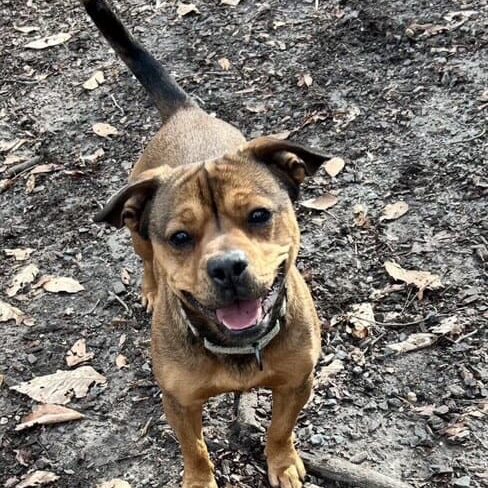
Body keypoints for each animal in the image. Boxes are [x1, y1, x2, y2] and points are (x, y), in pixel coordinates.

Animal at [82, 1, 326, 486]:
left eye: (259, 216)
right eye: (180, 237)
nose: (227, 267)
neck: (238, 345)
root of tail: (185, 113)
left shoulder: (297, 382)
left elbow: (280, 428)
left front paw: (283, 462)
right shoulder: (179, 401)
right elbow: (194, 448)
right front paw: (198, 478)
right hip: (136, 233)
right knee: (145, 260)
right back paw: (150, 288)